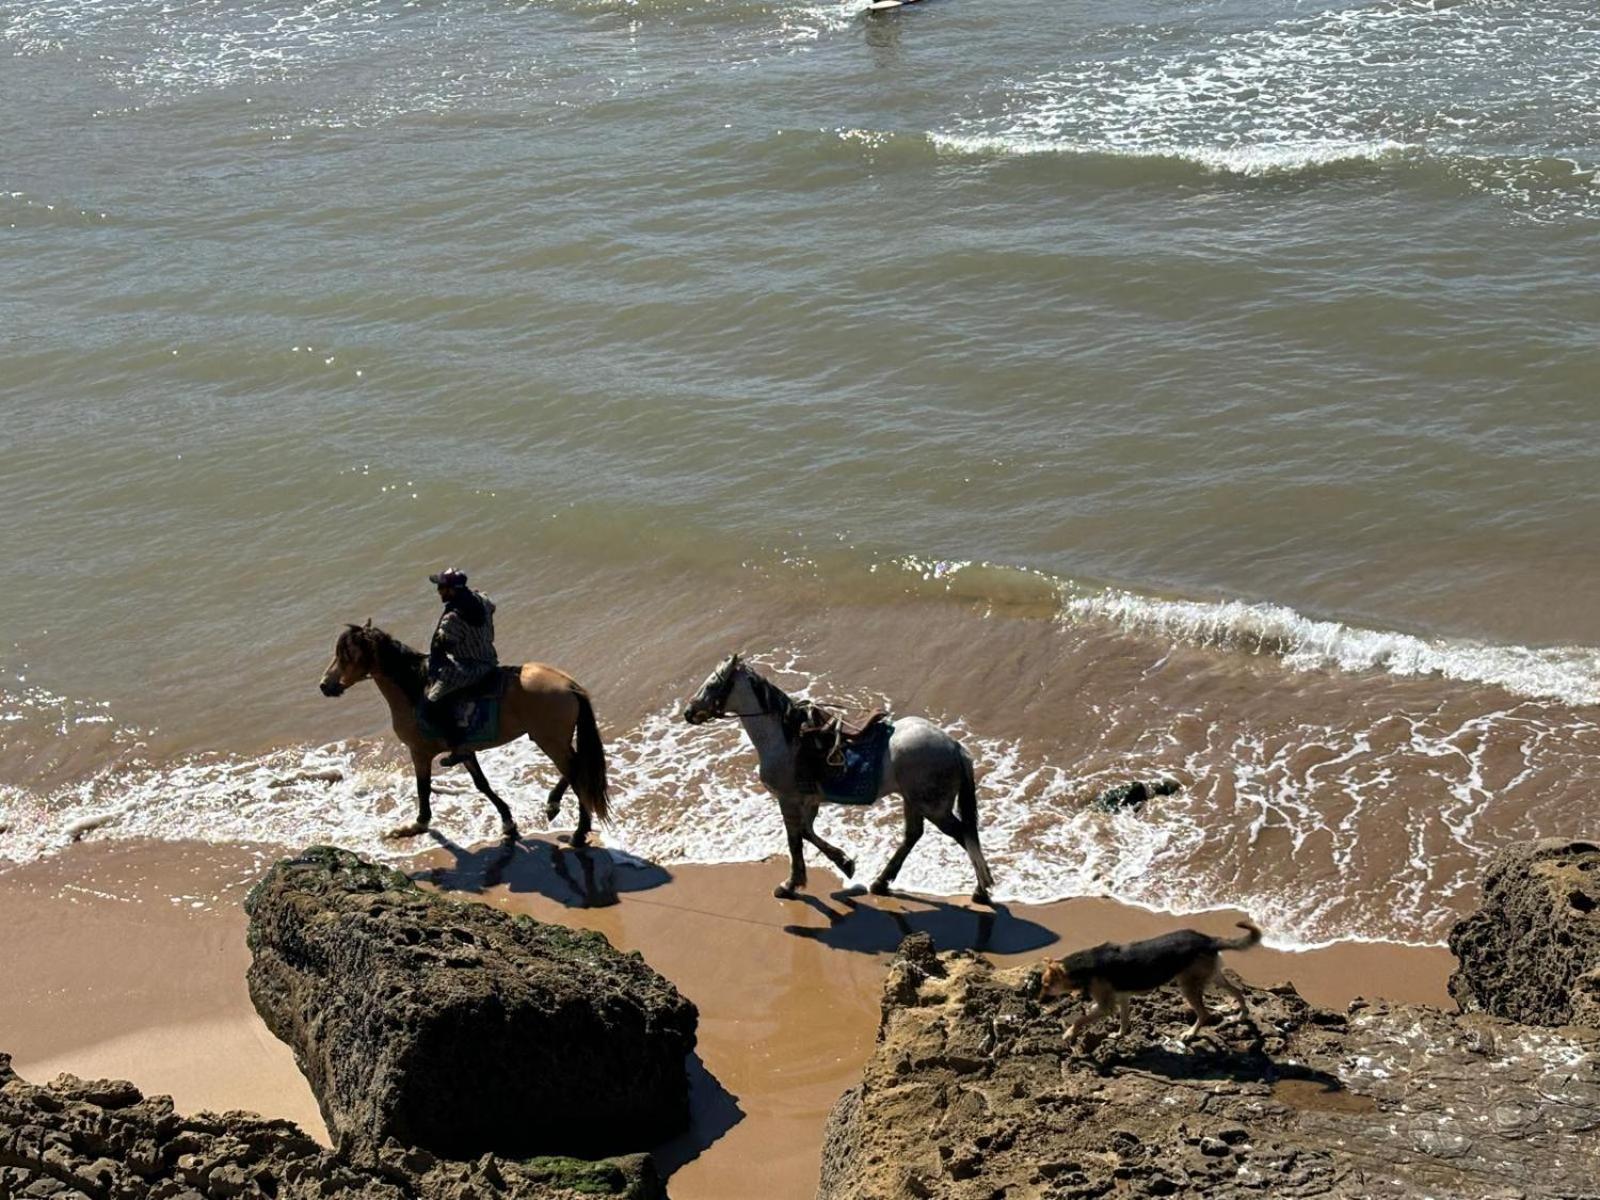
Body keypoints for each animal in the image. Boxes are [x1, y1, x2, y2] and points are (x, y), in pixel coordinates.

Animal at [315, 624, 608, 851]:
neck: (415, 690)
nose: (324, 685)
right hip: (553, 740)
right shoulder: (465, 751)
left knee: (576, 774)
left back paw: (578, 832)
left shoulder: (419, 752)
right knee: (576, 769)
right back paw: (553, 805)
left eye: (345, 655)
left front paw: (416, 824)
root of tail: (569, 684)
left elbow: (423, 788)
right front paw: (508, 823)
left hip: (551, 741)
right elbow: (482, 785)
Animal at [681, 659, 992, 902]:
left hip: (932, 806)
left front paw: (791, 884)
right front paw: (844, 863)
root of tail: (953, 745)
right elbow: (806, 832)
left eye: (712, 685)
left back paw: (981, 889)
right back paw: (881, 882)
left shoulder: (788, 799)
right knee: (914, 835)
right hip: (913, 800)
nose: (689, 712)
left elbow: (795, 839)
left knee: (964, 834)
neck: (786, 737)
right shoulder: (809, 800)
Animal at [1036, 928, 1260, 1049]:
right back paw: (1242, 1014)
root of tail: (1209, 940)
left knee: (1204, 1014)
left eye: (1046, 986)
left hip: (1187, 985)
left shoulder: (1106, 1005)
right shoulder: (1122, 998)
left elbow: (1081, 1019)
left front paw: (1069, 1033)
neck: (1081, 965)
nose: (1038, 1002)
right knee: (1237, 991)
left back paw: (1190, 1033)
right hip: (1213, 977)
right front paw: (1120, 1035)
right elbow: (1124, 1019)